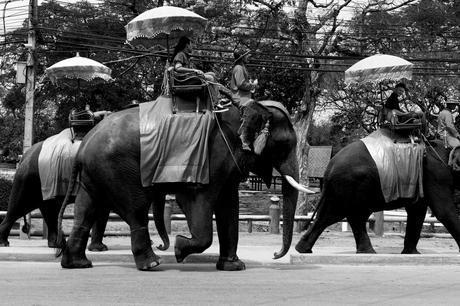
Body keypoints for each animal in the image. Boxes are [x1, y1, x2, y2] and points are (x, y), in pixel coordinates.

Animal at [55, 98, 310, 270]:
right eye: (284, 145)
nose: (275, 254)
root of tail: (83, 145)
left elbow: (229, 206)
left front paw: (233, 267)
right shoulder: (211, 159)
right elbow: (199, 201)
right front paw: (179, 249)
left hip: (95, 172)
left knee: (85, 210)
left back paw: (77, 264)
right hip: (117, 168)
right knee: (136, 208)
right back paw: (152, 264)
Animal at [294, 135, 460, 255]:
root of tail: (329, 167)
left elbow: (417, 211)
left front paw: (411, 253)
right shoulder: (436, 174)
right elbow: (443, 211)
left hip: (342, 189)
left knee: (332, 215)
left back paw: (302, 249)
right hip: (352, 184)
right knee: (348, 215)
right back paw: (367, 251)